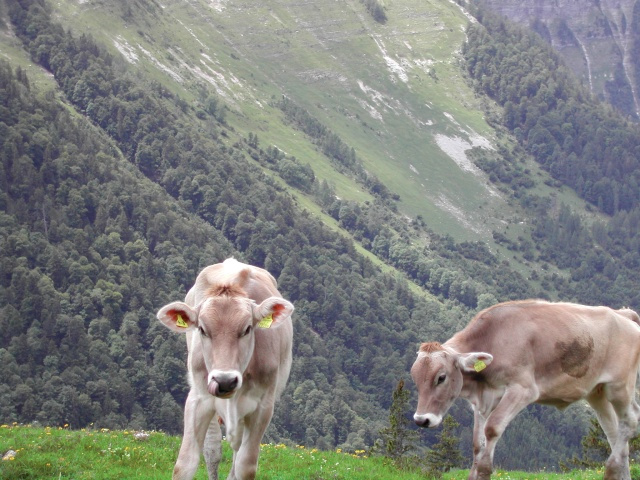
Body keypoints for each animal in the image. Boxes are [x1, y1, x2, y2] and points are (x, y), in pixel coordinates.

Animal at [156, 258, 294, 480]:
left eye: (247, 329)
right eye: (202, 329)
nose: (225, 381)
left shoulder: (263, 406)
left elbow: (245, 466)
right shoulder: (198, 398)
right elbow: (186, 463)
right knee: (213, 449)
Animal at [410, 300, 640, 480]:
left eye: (441, 377)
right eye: (414, 378)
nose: (422, 420)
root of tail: (623, 314)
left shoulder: (523, 389)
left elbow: (492, 428)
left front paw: (484, 472)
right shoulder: (483, 400)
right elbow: (477, 443)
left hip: (619, 386)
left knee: (630, 420)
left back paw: (611, 471)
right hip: (597, 392)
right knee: (613, 431)